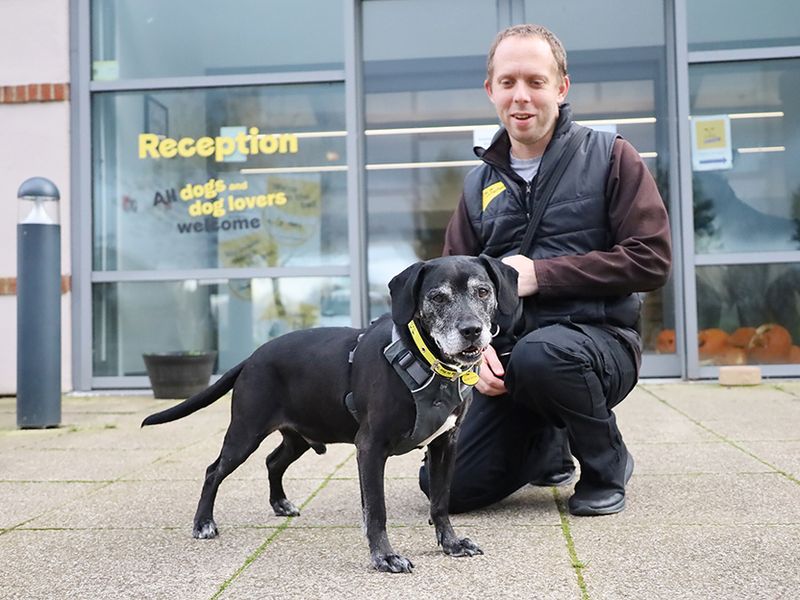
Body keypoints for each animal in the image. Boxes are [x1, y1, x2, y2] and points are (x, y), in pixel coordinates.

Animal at [142, 254, 520, 572]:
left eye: (483, 292)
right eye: (438, 298)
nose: (471, 331)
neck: (426, 361)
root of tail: (252, 357)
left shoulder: (446, 445)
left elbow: (440, 501)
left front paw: (451, 544)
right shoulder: (370, 448)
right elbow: (376, 510)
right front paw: (385, 557)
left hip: (300, 437)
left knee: (273, 461)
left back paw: (280, 504)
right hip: (245, 433)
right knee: (214, 470)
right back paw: (204, 523)